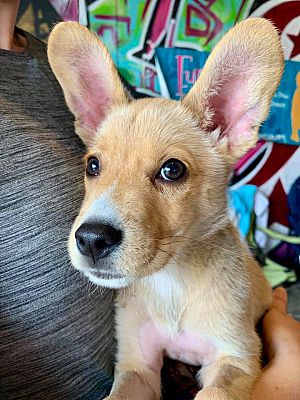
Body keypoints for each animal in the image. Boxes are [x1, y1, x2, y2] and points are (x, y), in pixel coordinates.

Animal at [47, 19, 284, 400]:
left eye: (172, 170)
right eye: (93, 166)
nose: (92, 239)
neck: (173, 281)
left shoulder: (237, 355)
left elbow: (215, 393)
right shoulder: (137, 365)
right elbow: (117, 394)